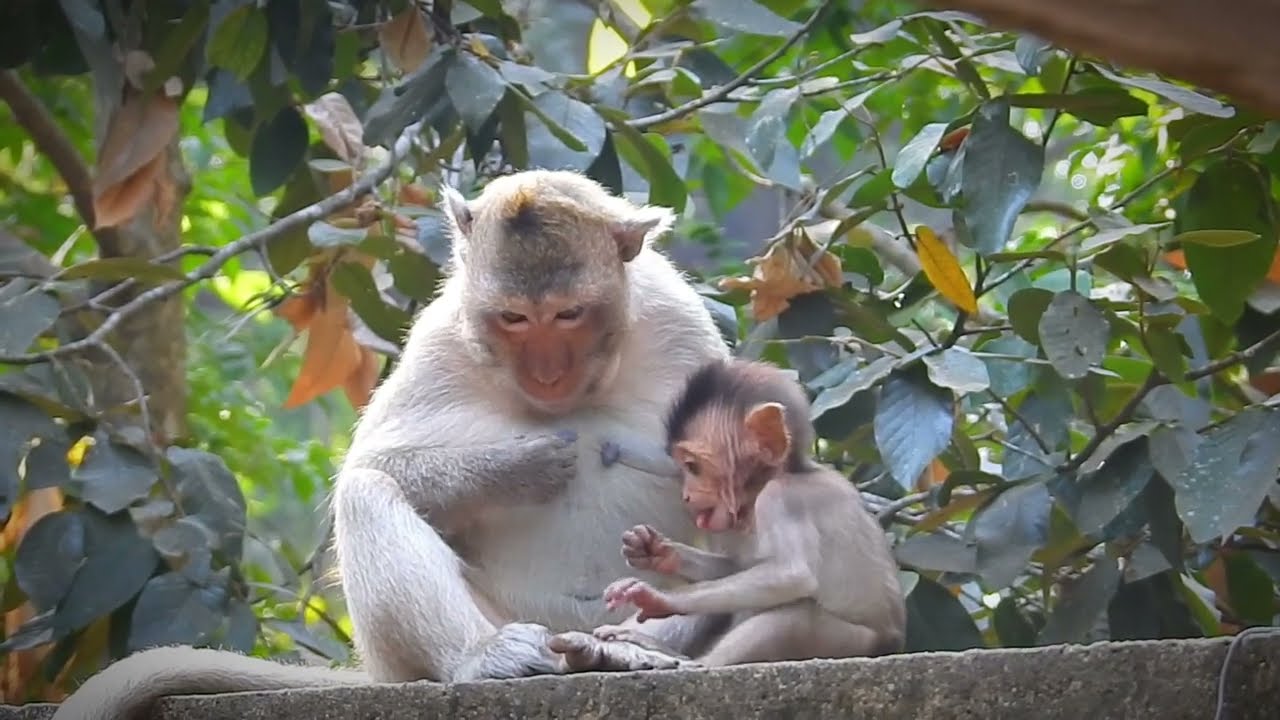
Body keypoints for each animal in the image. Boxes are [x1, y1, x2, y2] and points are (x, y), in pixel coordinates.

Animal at [50, 169, 730, 720]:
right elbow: (375, 463)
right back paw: (484, 656)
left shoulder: (680, 322)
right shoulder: (441, 338)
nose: (546, 373)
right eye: (513, 318)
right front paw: (518, 466)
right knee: (367, 493)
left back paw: (627, 651)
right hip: (445, 642)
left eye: (568, 314)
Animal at [552, 358, 906, 667]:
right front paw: (657, 551)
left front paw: (660, 598)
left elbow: (791, 575)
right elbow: (737, 567)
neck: (780, 476)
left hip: (852, 643)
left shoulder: (780, 500)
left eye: (693, 466)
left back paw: (690, 662)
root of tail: (894, 644)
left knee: (794, 617)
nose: (687, 495)